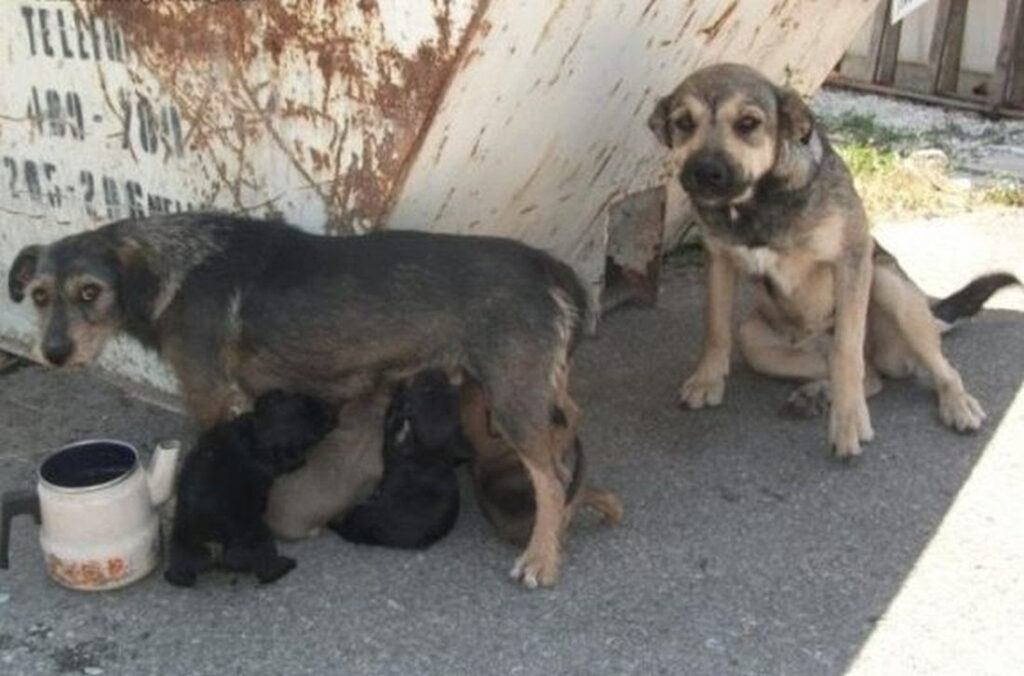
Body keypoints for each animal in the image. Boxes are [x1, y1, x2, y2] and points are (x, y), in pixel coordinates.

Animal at [164, 391, 335, 585]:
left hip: (181, 546)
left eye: (304, 397)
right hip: (260, 539)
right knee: (266, 572)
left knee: (178, 573)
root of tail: (215, 545)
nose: (331, 410)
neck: (256, 433)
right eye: (315, 434)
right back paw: (285, 564)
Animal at [331, 368, 460, 548]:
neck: (428, 458)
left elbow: (389, 427)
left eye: (424, 389)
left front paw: (398, 399)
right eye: (446, 384)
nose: (434, 370)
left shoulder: (393, 450)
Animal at [647, 63, 1015, 456]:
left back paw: (957, 403)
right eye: (684, 122)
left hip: (891, 290)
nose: (704, 173)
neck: (757, 203)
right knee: (869, 375)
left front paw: (849, 418)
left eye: (748, 123)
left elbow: (846, 352)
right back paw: (816, 395)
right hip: (756, 341)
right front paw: (707, 380)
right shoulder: (719, 259)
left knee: (930, 366)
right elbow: (715, 329)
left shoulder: (852, 257)